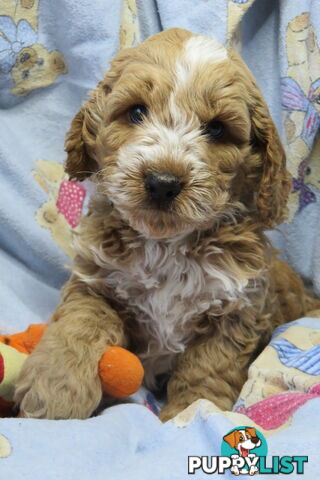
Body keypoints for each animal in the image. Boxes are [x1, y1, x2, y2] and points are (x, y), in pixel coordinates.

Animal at [14, 29, 320, 420]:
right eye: (136, 111)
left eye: (217, 129)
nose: (162, 182)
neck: (165, 245)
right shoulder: (95, 281)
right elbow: (79, 324)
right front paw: (54, 389)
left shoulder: (236, 310)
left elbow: (207, 367)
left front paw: (190, 413)